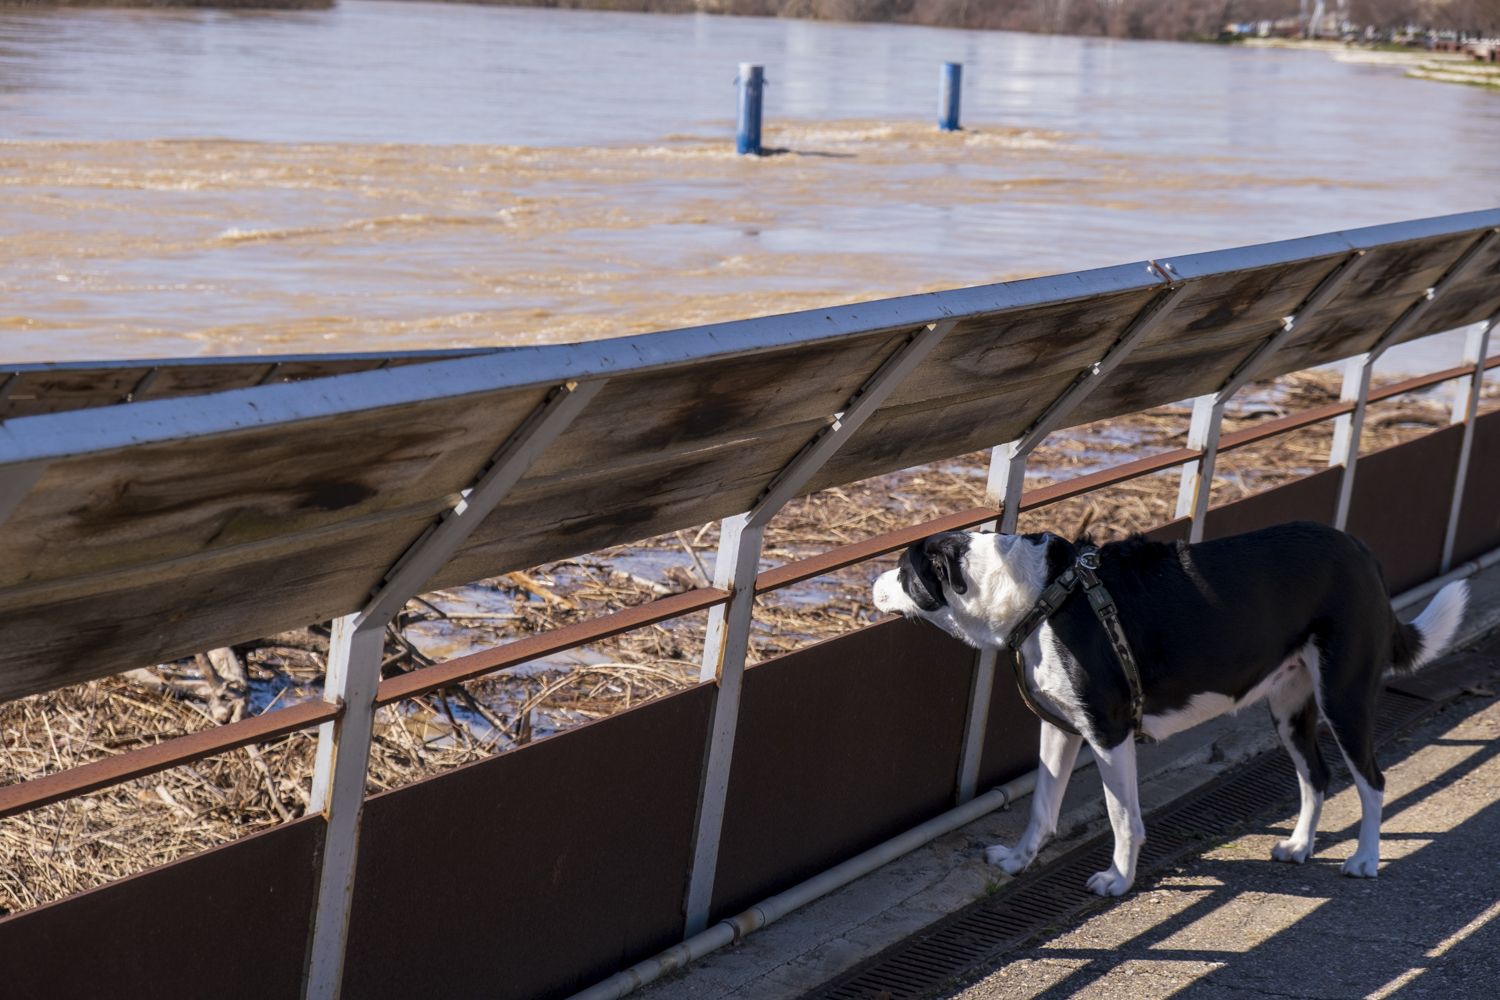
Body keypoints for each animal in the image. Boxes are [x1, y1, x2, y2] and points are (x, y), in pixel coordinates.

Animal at [876, 524, 1470, 899]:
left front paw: (1118, 880)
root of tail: (1362, 552)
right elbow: (1042, 809)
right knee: (1317, 777)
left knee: (1372, 780)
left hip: (1342, 698)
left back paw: (1365, 860)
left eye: (903, 571)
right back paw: (1301, 845)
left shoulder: (1108, 731)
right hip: (1289, 705)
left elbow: (1122, 816)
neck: (1041, 598)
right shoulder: (1061, 728)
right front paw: (1019, 863)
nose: (870, 583)